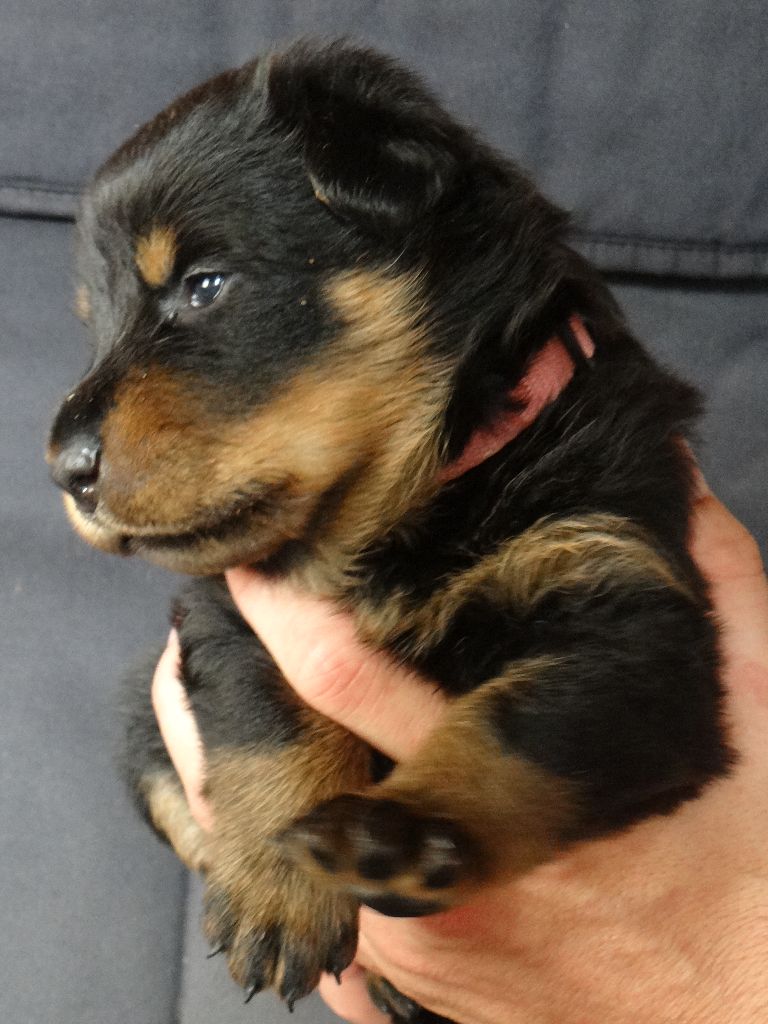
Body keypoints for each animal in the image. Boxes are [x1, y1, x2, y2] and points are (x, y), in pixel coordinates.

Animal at [47, 40, 732, 1023]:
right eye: (95, 320)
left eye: (204, 286)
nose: (64, 466)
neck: (405, 510)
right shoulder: (229, 610)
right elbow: (265, 712)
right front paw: (277, 887)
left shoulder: (632, 608)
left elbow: (524, 728)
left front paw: (405, 833)